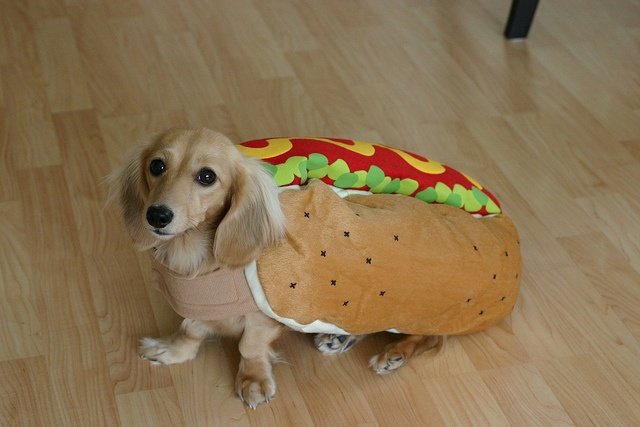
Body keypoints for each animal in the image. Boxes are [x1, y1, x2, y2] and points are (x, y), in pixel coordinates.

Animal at [110, 129, 448, 410]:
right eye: (157, 166)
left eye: (207, 176)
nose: (157, 215)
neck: (196, 258)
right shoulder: (200, 305)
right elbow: (190, 330)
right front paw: (171, 350)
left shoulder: (265, 317)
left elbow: (249, 344)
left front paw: (253, 380)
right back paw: (339, 339)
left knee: (433, 338)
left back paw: (395, 354)